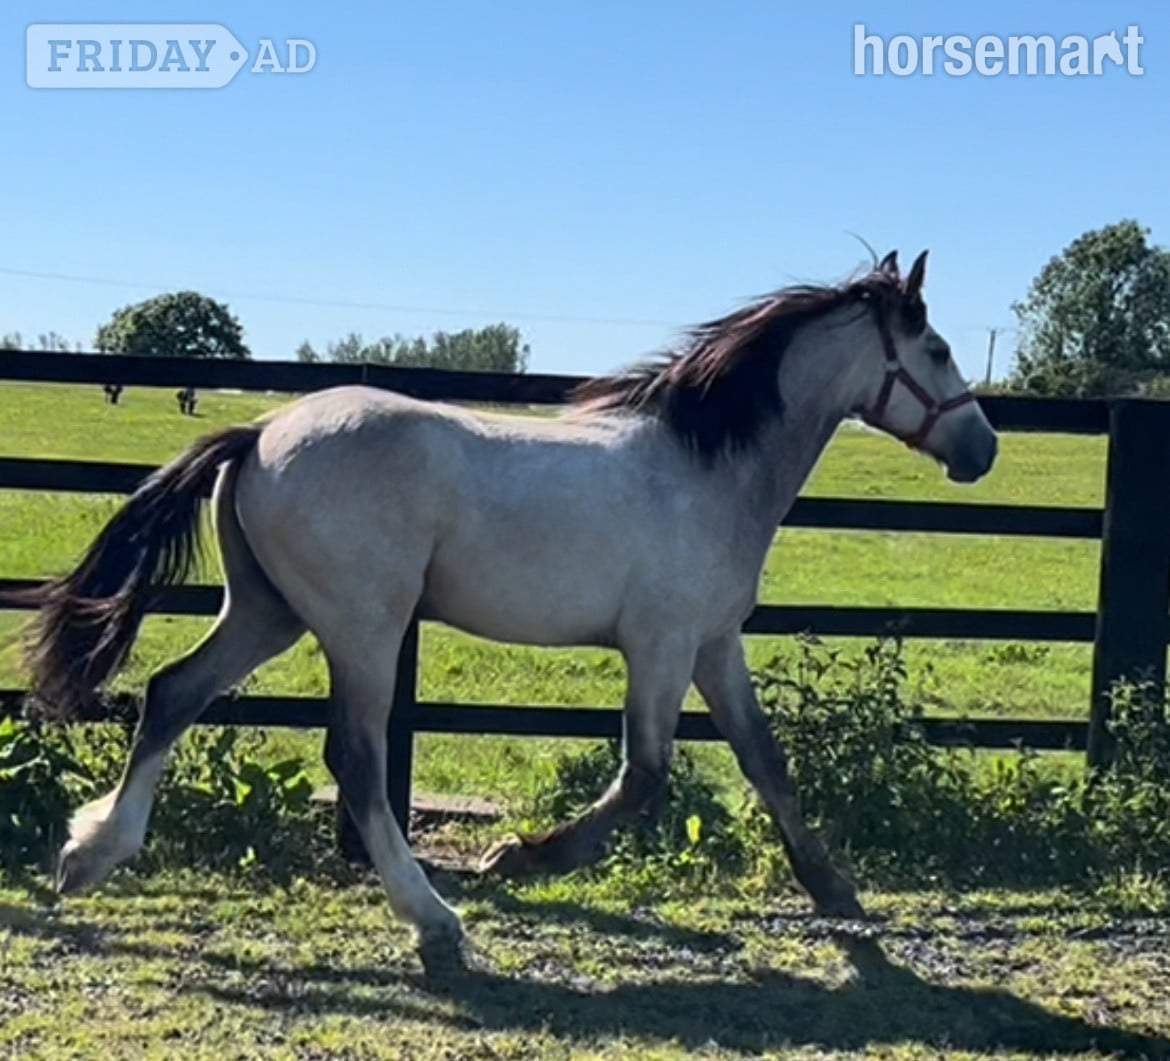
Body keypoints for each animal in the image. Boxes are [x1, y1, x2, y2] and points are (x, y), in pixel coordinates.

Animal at [4, 250, 996, 969]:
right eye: (939, 350)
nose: (982, 447)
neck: (706, 467)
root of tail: (259, 432)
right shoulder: (662, 644)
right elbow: (646, 777)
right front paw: (514, 856)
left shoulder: (716, 643)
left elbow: (766, 760)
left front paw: (835, 890)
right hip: (362, 626)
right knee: (355, 759)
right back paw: (435, 918)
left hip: (267, 610)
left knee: (173, 692)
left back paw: (89, 854)